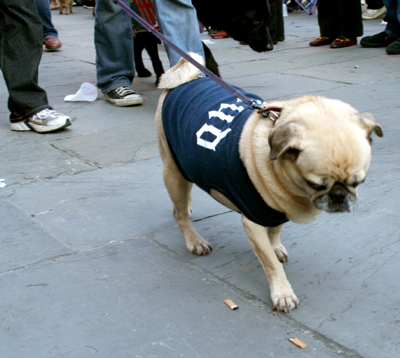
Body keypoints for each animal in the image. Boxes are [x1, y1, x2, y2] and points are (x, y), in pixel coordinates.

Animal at [155, 53, 382, 314]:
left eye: (358, 182)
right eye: (315, 184)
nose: (339, 196)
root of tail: (184, 80)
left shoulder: (276, 210)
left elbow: (275, 233)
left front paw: (276, 247)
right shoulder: (253, 222)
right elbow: (271, 263)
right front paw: (282, 292)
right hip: (173, 170)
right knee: (179, 213)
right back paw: (194, 240)